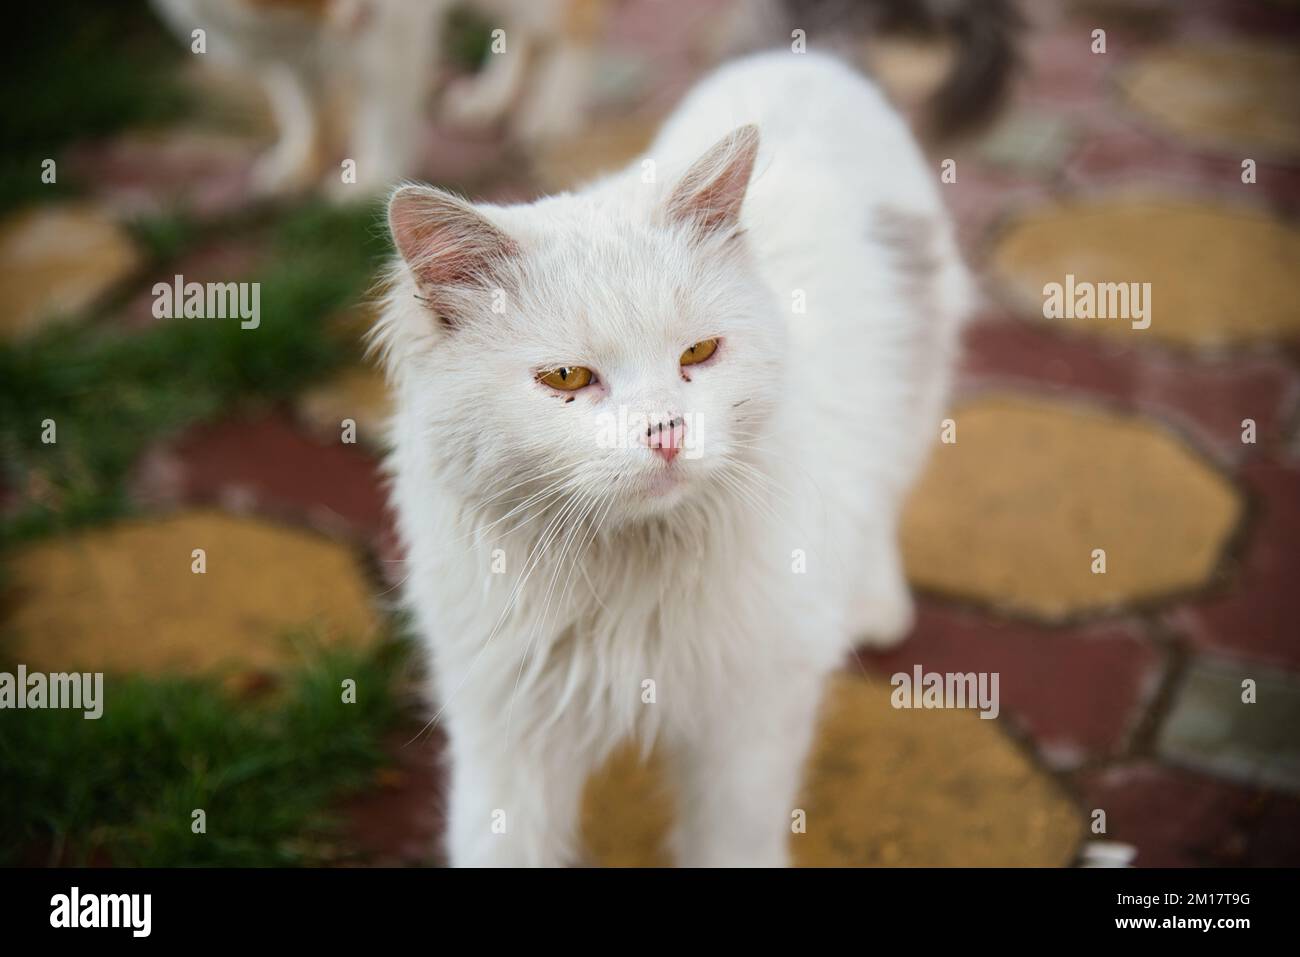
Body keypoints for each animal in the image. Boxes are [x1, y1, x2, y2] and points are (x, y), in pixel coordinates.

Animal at [371, 48, 972, 868]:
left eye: (698, 353)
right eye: (567, 378)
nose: (666, 432)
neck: (628, 570)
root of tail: (804, 57)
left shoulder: (748, 726)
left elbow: (731, 841)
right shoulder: (506, 734)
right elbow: (500, 840)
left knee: (882, 501)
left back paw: (874, 606)